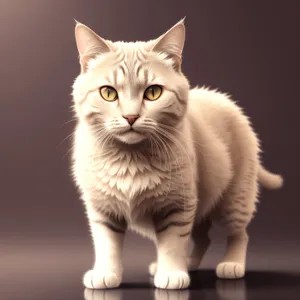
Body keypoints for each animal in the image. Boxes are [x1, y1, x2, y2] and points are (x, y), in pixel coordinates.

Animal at [71, 19, 282, 290]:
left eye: (153, 92)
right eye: (108, 93)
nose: (131, 117)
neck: (129, 157)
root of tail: (228, 102)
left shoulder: (176, 205)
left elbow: (172, 243)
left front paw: (171, 273)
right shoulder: (102, 209)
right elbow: (107, 245)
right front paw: (105, 273)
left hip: (235, 198)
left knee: (239, 234)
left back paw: (231, 264)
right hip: (201, 204)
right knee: (203, 238)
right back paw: (189, 263)